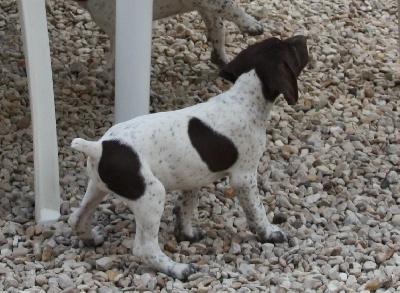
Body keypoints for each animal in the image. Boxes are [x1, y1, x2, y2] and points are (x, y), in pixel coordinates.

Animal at [69, 35, 310, 278]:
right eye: (292, 49)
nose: (303, 37)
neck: (243, 100)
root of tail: (98, 147)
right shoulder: (244, 176)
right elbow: (257, 211)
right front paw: (269, 233)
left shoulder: (192, 177)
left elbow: (186, 206)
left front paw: (186, 234)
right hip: (151, 194)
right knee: (144, 248)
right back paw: (179, 269)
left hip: (97, 187)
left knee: (77, 218)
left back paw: (92, 239)